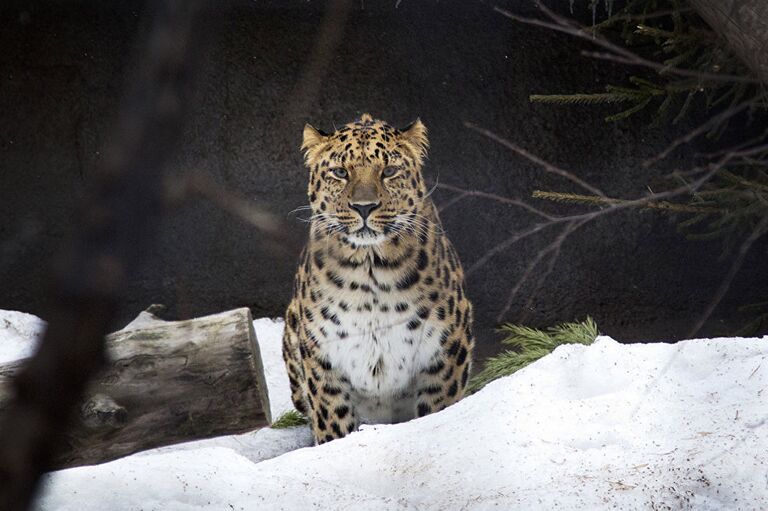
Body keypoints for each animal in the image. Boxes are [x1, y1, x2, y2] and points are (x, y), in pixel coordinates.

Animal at [282, 112, 474, 444]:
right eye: (340, 172)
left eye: (389, 171)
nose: (364, 207)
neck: (370, 271)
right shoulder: (323, 360)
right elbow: (332, 421)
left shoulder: (444, 354)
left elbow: (437, 410)